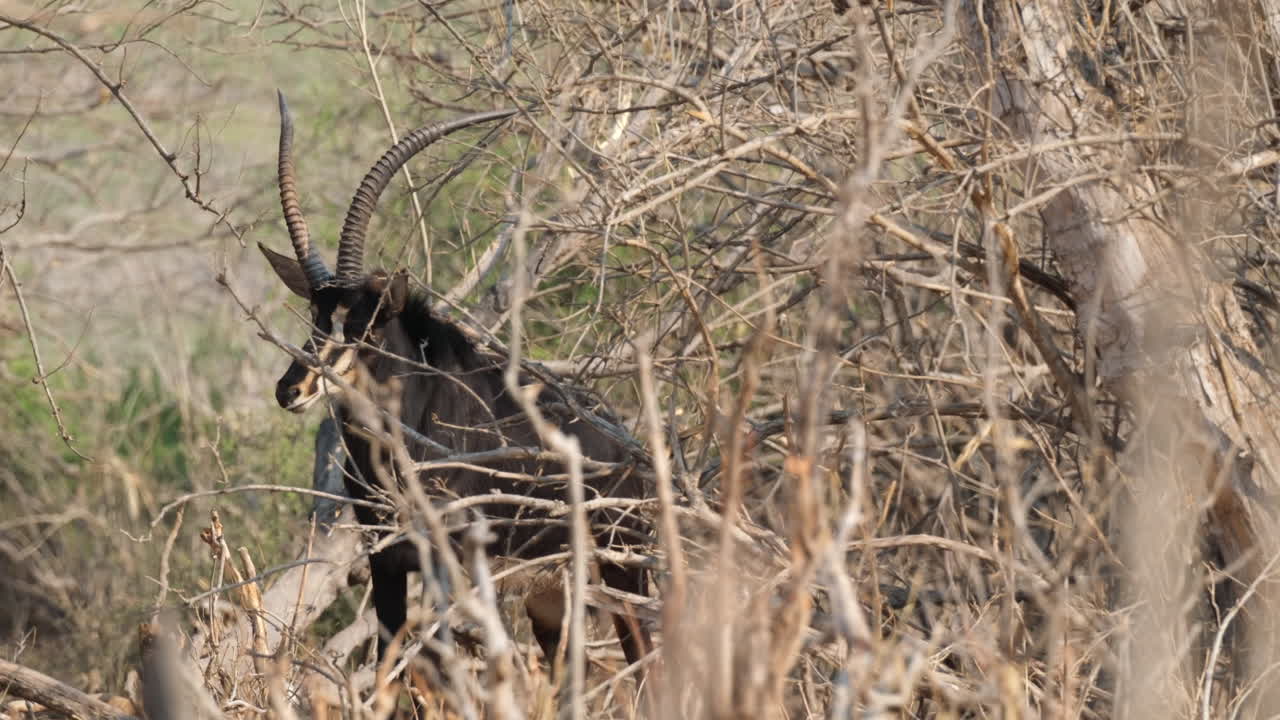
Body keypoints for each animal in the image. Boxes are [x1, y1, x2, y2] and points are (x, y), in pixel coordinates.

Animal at [258, 93, 651, 681]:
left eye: (368, 326)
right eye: (315, 315)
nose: (292, 389)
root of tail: (631, 447)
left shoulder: (444, 555)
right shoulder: (385, 558)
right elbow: (391, 661)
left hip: (624, 563)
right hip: (551, 587)